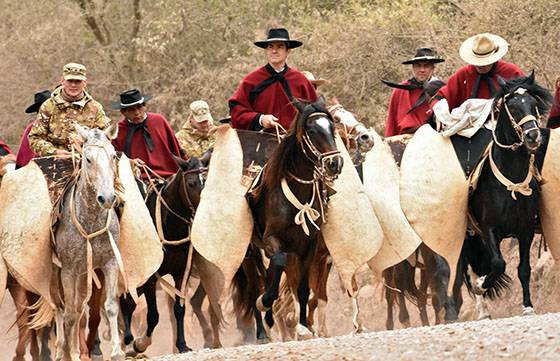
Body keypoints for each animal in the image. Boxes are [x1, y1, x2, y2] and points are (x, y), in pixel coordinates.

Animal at [231, 99, 344, 340]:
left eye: (332, 128)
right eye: (312, 130)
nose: (335, 163)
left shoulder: (309, 248)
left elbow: (302, 288)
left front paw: (303, 326)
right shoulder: (273, 242)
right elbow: (279, 267)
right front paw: (265, 303)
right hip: (249, 253)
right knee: (256, 285)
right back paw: (262, 330)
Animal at [460, 72, 552, 312]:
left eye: (533, 103)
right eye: (512, 107)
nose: (533, 136)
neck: (512, 182)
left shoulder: (525, 230)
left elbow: (524, 269)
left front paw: (528, 306)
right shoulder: (489, 230)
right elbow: (499, 264)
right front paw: (482, 285)